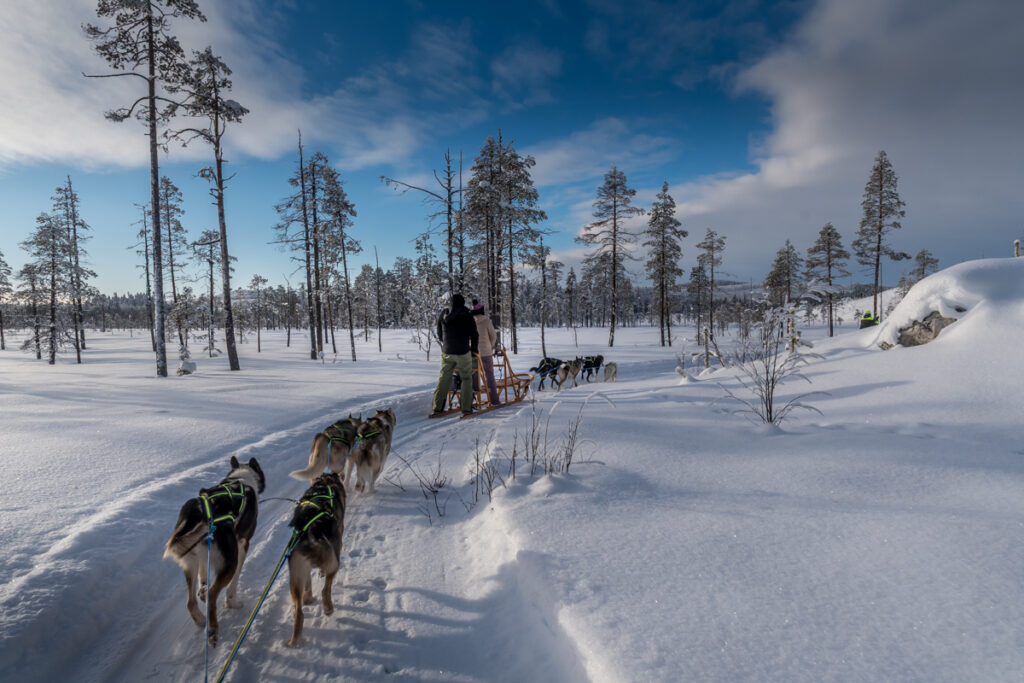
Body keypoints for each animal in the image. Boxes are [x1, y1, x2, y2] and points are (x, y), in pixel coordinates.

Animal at [164, 456, 266, 647]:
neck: (240, 478)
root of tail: (198, 514)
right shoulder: (243, 545)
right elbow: (234, 581)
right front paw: (232, 602)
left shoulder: (204, 559)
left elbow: (203, 579)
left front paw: (203, 589)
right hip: (228, 562)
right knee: (212, 594)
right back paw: (213, 630)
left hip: (190, 563)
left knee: (190, 601)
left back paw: (201, 619)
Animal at [286, 471, 346, 647]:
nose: (341, 473)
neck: (324, 483)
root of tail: (311, 530)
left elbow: (309, 583)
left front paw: (309, 596)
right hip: (334, 562)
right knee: (326, 589)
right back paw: (328, 608)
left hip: (295, 577)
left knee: (299, 612)